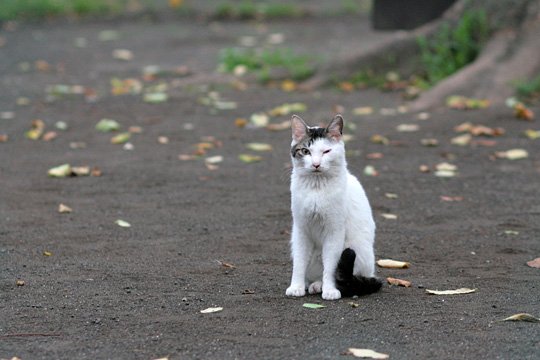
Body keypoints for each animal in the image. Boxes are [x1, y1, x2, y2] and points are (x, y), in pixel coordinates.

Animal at [284, 115, 382, 300]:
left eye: (326, 151)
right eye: (306, 151)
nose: (316, 164)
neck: (316, 188)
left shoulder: (334, 231)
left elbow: (330, 266)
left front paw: (330, 290)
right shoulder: (301, 230)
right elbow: (299, 263)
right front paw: (296, 287)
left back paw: (320, 285)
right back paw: (312, 284)